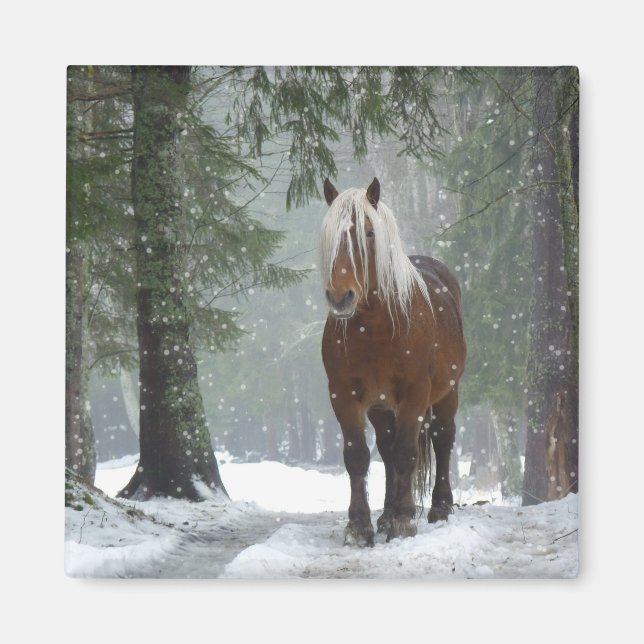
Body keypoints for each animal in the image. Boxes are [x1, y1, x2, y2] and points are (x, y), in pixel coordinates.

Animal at [320, 178, 466, 546]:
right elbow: (358, 456)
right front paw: (360, 526)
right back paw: (385, 515)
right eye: (329, 234)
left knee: (442, 440)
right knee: (386, 452)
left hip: (447, 393)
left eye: (369, 233)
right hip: (381, 407)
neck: (376, 327)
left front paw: (404, 521)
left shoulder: (415, 394)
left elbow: (406, 453)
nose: (340, 297)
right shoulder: (343, 396)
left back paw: (438, 508)